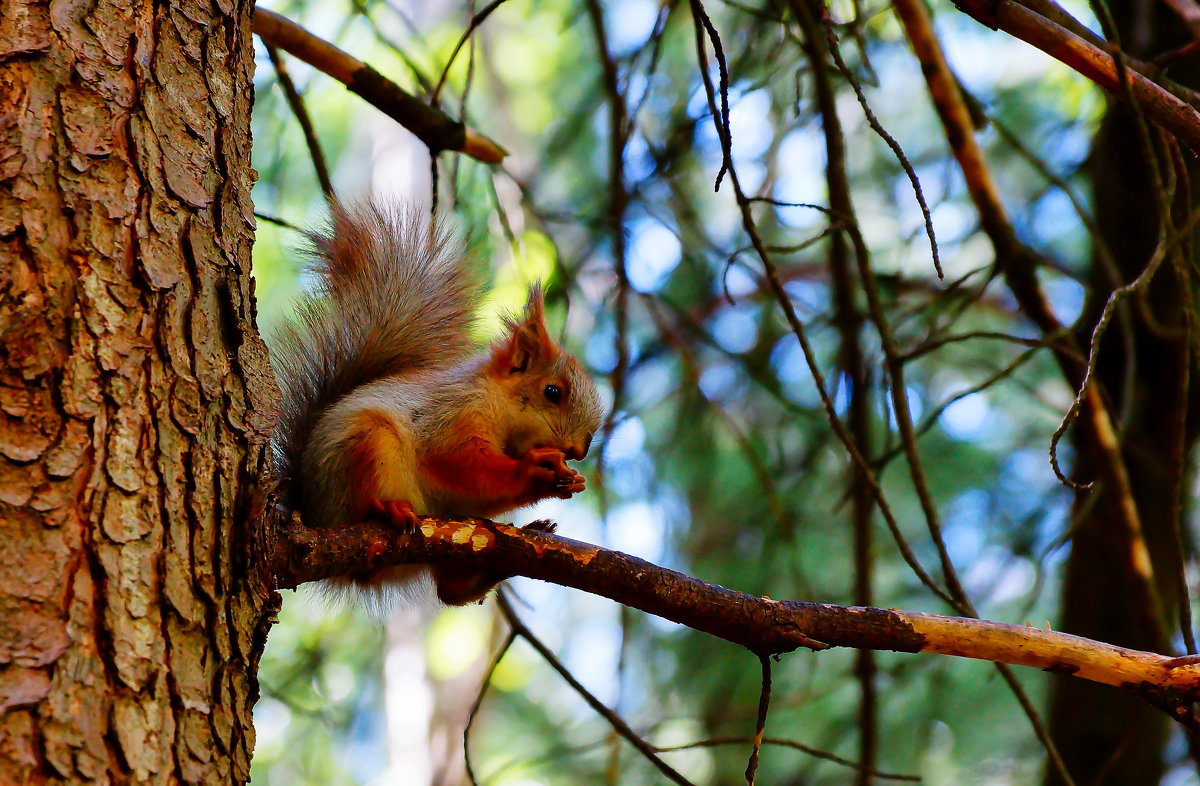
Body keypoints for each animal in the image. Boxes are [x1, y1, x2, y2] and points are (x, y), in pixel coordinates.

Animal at [274, 202, 604, 609]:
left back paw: (498, 563)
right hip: (365, 445)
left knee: (450, 591)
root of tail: (312, 514)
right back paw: (386, 510)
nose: (581, 449)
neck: (494, 402)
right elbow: (463, 466)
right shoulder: (449, 418)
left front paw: (570, 479)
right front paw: (534, 469)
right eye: (553, 392)